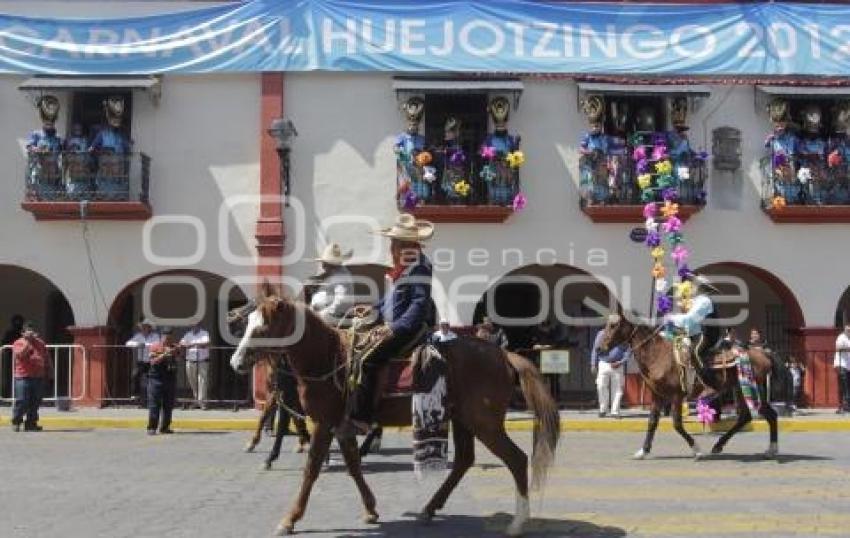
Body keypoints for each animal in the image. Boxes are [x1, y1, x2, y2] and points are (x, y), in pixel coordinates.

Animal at [229, 282, 560, 532]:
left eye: (264, 328)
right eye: (248, 323)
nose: (236, 362)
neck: (327, 357)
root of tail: (503, 355)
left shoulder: (324, 423)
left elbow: (311, 470)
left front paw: (290, 519)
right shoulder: (341, 424)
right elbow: (353, 465)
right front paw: (371, 509)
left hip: (485, 423)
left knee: (516, 459)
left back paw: (517, 523)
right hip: (463, 420)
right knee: (464, 460)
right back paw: (429, 508)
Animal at [600, 312, 780, 458]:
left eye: (614, 325)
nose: (601, 348)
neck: (658, 354)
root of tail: (763, 354)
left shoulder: (676, 396)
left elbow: (677, 424)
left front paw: (697, 450)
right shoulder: (657, 395)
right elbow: (652, 422)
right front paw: (643, 451)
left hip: (754, 389)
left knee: (769, 415)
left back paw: (771, 450)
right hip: (739, 389)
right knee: (747, 416)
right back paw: (720, 445)